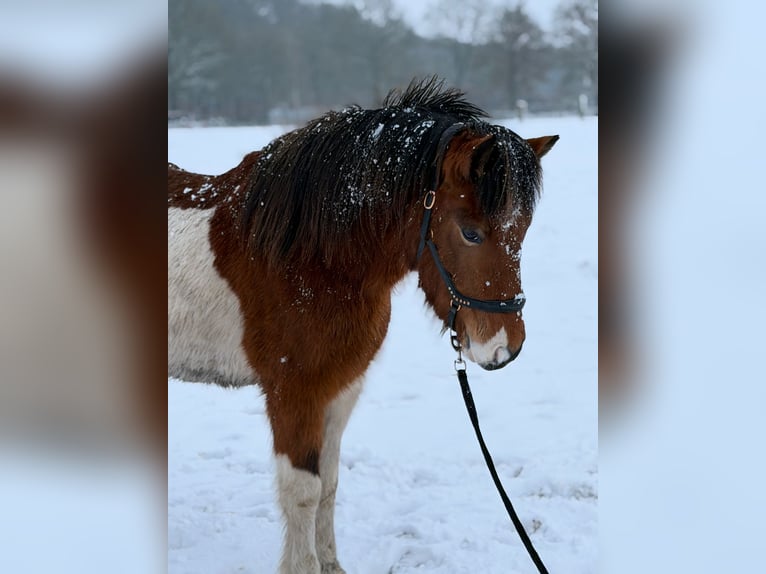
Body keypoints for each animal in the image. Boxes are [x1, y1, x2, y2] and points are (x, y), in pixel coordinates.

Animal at [168, 77, 558, 574]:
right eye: (471, 232)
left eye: (522, 230)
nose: (507, 347)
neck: (309, 258)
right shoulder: (293, 394)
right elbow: (303, 491)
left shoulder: (340, 389)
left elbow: (329, 484)